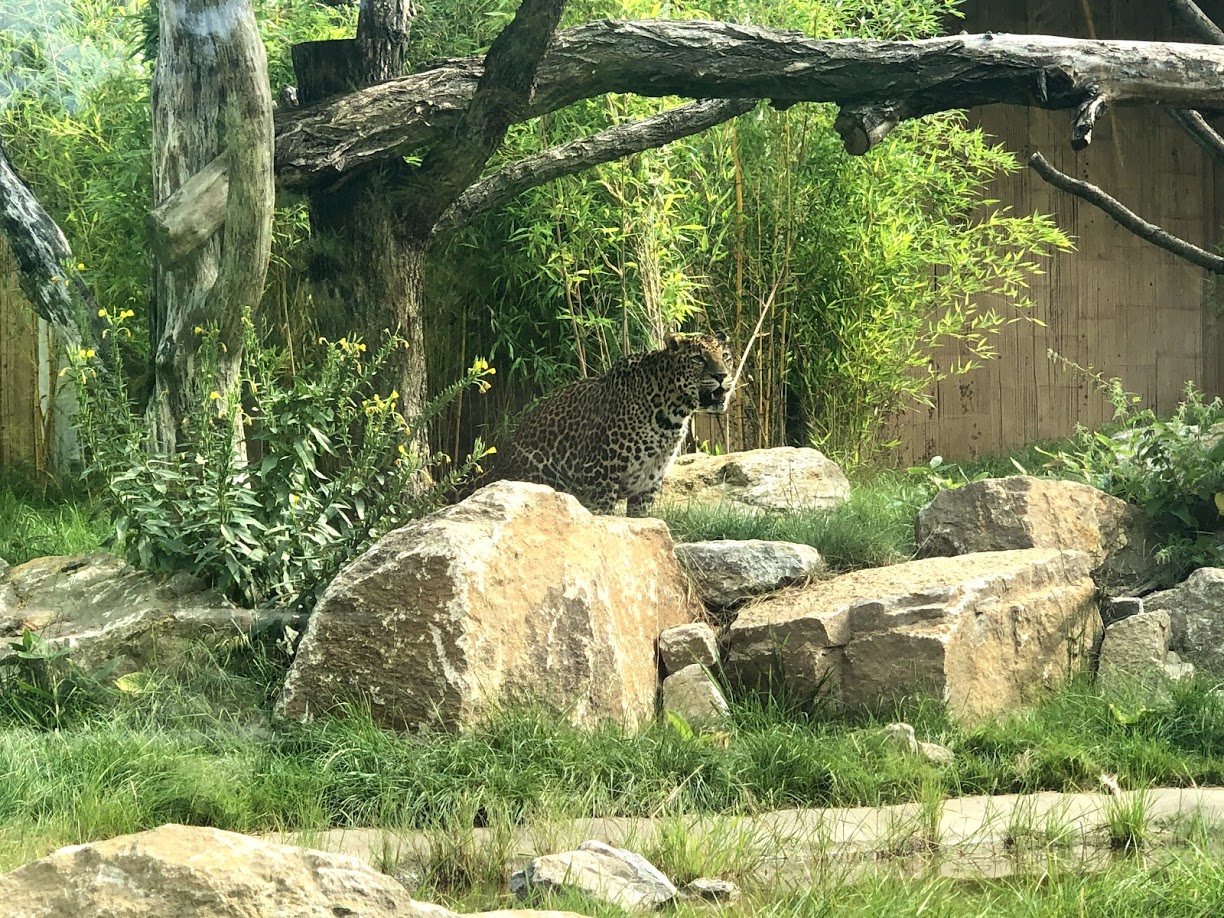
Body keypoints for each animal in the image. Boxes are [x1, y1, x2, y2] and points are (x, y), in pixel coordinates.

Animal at [469, 332, 734, 517]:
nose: (722, 375)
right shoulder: (600, 478)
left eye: (725, 357)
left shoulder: (648, 485)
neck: (672, 415)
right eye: (698, 358)